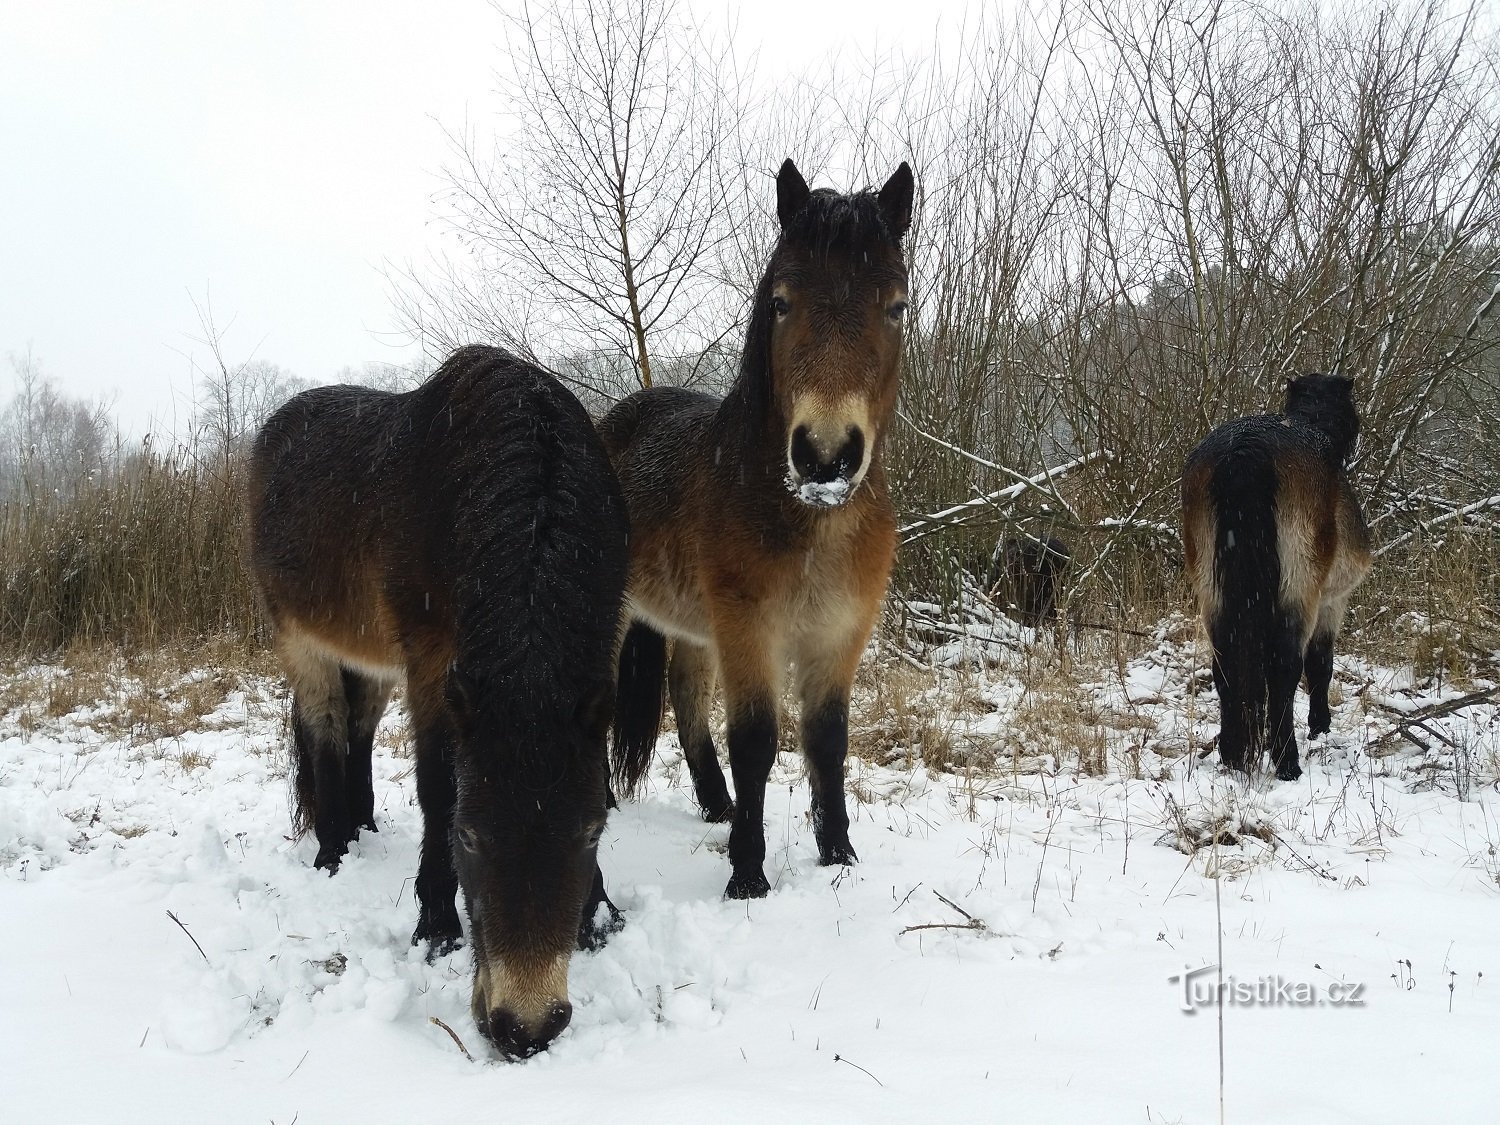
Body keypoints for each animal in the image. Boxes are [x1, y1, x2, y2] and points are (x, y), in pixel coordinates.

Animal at [247, 345, 630, 1058]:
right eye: (470, 837)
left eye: (592, 831)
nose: (527, 1027)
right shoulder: (431, 662)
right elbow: (437, 786)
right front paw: (435, 925)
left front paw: (599, 914)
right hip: (303, 640)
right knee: (325, 727)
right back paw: (333, 851)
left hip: (370, 656)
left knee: (359, 729)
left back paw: (363, 825)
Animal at [599, 158, 914, 899]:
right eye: (781, 302)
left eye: (895, 306)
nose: (825, 456)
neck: (811, 521)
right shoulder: (751, 626)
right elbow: (756, 741)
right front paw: (747, 872)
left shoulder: (839, 632)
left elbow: (826, 740)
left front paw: (838, 853)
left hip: (692, 626)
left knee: (686, 699)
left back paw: (715, 804)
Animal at [1181, 372, 1371, 781]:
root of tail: (1246, 449)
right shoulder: (1333, 601)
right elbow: (1320, 664)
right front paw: (1319, 725)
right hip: (1299, 588)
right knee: (1284, 668)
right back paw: (1287, 761)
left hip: (1213, 591)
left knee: (1225, 665)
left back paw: (1233, 754)